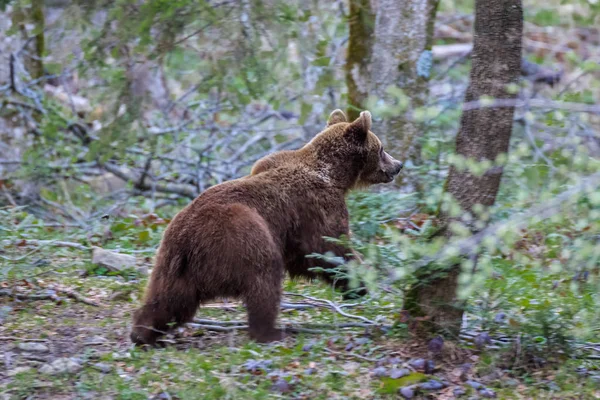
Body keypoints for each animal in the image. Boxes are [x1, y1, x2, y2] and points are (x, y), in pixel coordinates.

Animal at [131, 108, 404, 344]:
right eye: (381, 148)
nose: (398, 165)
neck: (334, 175)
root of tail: (186, 238)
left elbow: (307, 256)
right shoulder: (317, 206)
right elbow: (328, 248)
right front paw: (361, 282)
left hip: (173, 263)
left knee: (168, 299)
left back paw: (143, 333)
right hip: (239, 235)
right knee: (263, 278)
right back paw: (271, 332)